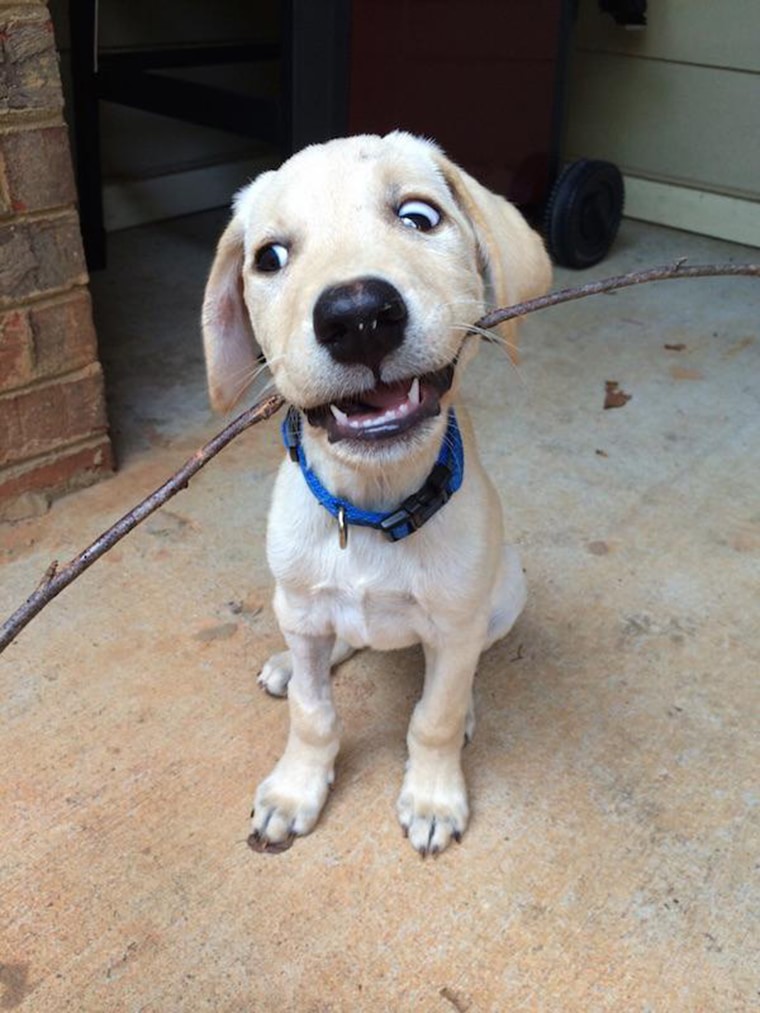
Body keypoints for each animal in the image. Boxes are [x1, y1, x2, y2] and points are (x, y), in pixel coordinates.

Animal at [199, 130, 551, 850]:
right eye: (269, 257)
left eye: (419, 217)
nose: (358, 316)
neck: (368, 510)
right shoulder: (302, 603)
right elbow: (312, 712)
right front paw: (296, 788)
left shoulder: (455, 622)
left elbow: (432, 715)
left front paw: (434, 794)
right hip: (297, 605)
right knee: (335, 641)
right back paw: (293, 662)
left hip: (504, 594)